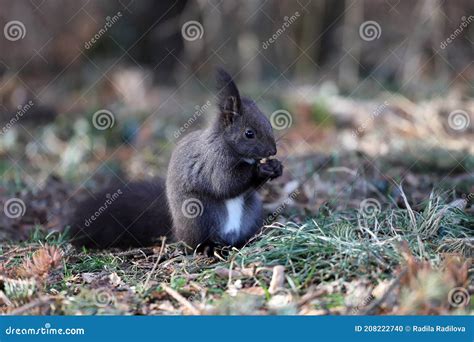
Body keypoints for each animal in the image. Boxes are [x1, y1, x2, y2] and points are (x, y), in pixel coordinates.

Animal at [69, 69, 284, 251]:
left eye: (268, 123)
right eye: (249, 133)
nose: (272, 151)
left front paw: (276, 167)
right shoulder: (214, 162)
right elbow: (225, 184)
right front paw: (260, 170)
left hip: (252, 211)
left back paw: (249, 240)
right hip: (198, 215)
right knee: (194, 243)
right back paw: (208, 248)